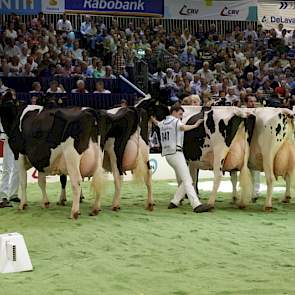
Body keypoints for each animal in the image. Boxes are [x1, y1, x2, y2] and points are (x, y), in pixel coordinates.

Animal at [0, 92, 108, 220]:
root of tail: (89, 111)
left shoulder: (19, 154)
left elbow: (23, 181)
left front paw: (23, 205)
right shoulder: (42, 159)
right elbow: (41, 182)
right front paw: (45, 202)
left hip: (72, 157)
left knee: (76, 182)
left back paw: (74, 212)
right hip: (98, 157)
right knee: (98, 181)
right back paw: (96, 208)